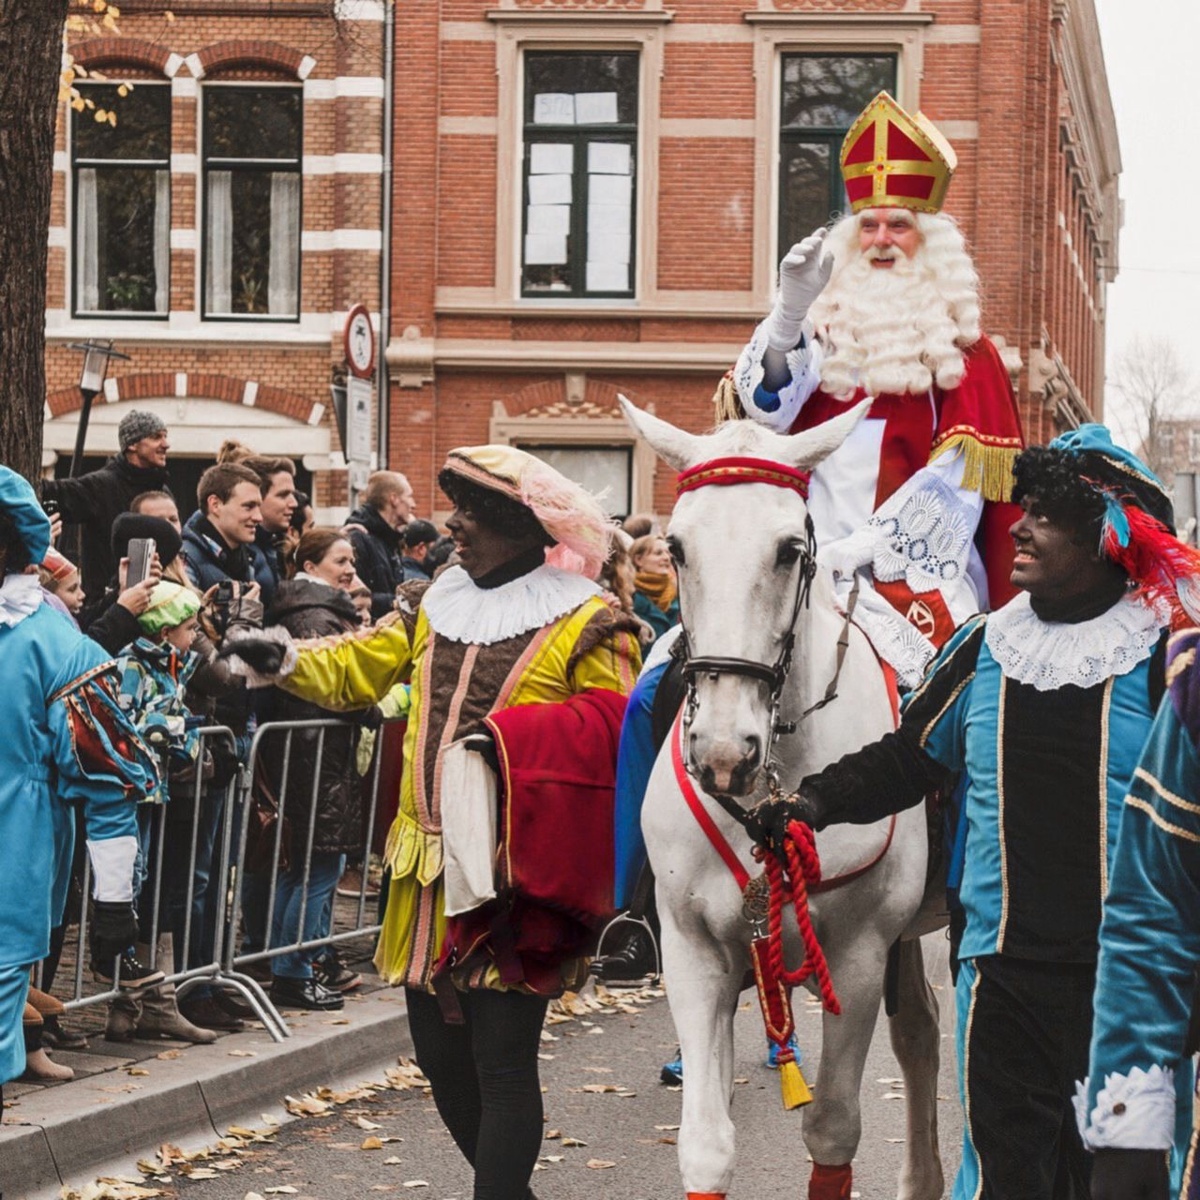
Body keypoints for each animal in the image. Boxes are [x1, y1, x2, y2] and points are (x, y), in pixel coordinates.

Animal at [619, 400, 945, 1200]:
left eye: (790, 549)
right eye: (676, 547)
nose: (723, 754)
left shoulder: (856, 958)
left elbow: (831, 1129)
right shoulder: (696, 950)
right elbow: (707, 1146)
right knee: (920, 1032)